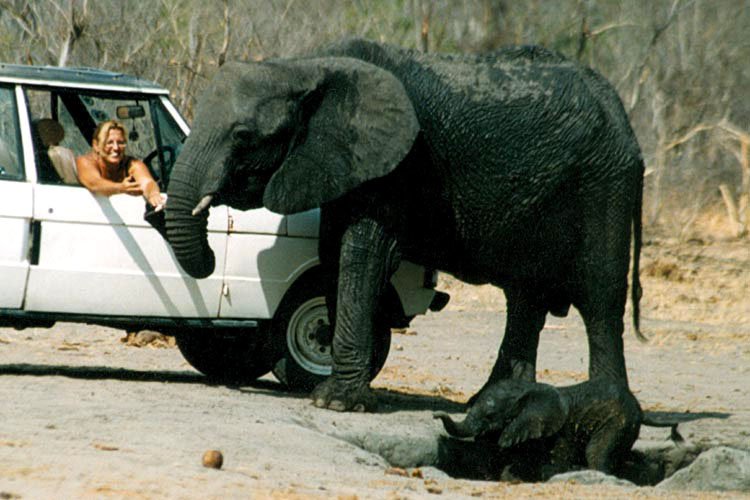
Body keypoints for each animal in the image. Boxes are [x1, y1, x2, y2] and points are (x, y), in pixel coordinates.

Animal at [164, 37, 645, 413]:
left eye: (243, 136)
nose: (212, 254)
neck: (306, 66)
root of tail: (622, 115)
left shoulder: (398, 167)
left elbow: (361, 255)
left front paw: (335, 401)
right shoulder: (344, 162)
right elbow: (334, 255)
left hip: (604, 183)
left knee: (599, 295)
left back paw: (607, 407)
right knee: (525, 297)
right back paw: (491, 404)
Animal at [434, 378, 677, 479]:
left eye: (490, 416)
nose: (436, 414)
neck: (527, 390)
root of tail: (641, 409)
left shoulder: (561, 431)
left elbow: (555, 462)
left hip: (618, 421)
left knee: (596, 453)